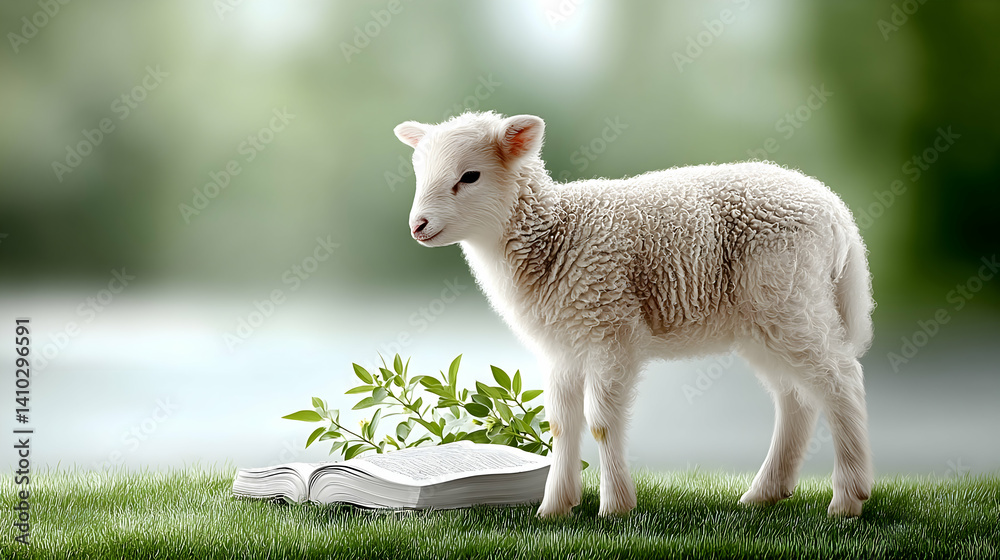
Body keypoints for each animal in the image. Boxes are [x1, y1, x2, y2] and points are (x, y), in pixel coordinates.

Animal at [392, 111, 875, 518]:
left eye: (470, 176)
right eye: (419, 173)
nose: (417, 226)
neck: (554, 234)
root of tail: (837, 212)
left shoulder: (611, 329)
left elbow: (602, 424)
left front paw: (615, 508)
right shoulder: (562, 346)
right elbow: (562, 424)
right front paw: (554, 508)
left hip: (788, 294)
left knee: (840, 379)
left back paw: (848, 498)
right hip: (763, 320)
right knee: (796, 398)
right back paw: (765, 493)